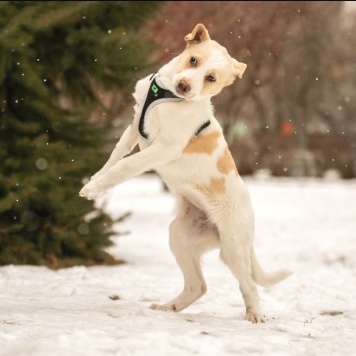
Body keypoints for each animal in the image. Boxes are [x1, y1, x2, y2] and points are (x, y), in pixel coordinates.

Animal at [80, 22, 292, 322]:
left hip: (233, 249)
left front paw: (93, 188)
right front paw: (95, 184)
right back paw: (169, 307)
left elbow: (127, 165)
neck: (168, 96)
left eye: (211, 78)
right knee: (197, 286)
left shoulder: (165, 147)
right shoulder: (133, 127)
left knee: (248, 284)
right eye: (193, 60)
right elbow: (114, 158)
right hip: (180, 236)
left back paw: (255, 316)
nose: (184, 85)